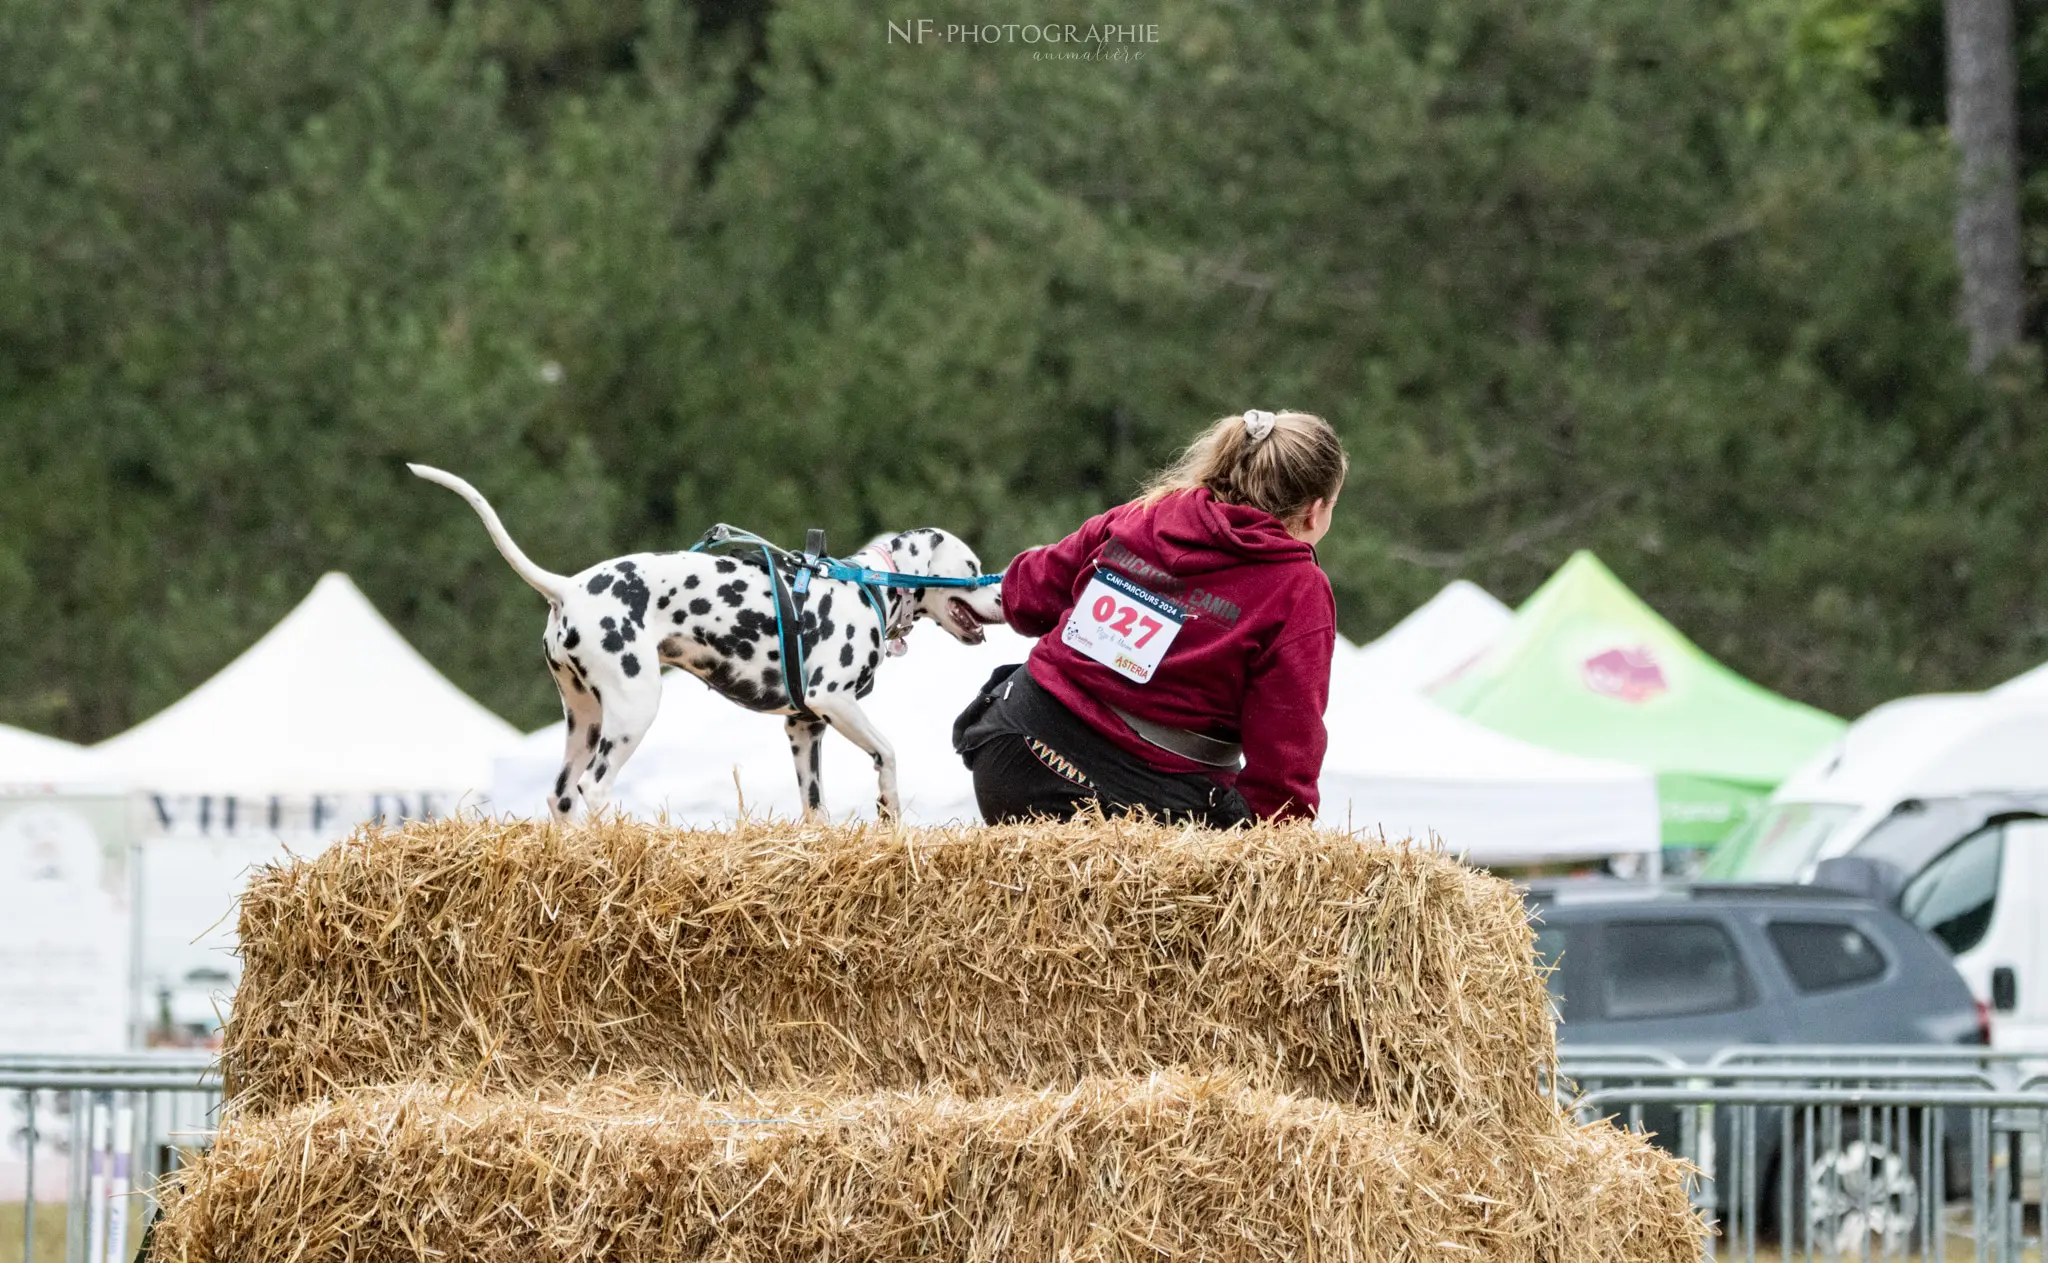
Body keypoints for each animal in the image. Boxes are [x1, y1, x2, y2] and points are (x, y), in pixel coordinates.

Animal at [405, 462, 999, 818]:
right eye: (972, 568)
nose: (1000, 592)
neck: (866, 586)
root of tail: (568, 586)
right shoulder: (835, 702)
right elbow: (890, 757)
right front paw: (890, 811)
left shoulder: (805, 729)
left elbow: (815, 810)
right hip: (633, 711)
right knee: (594, 789)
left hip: (585, 721)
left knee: (562, 797)